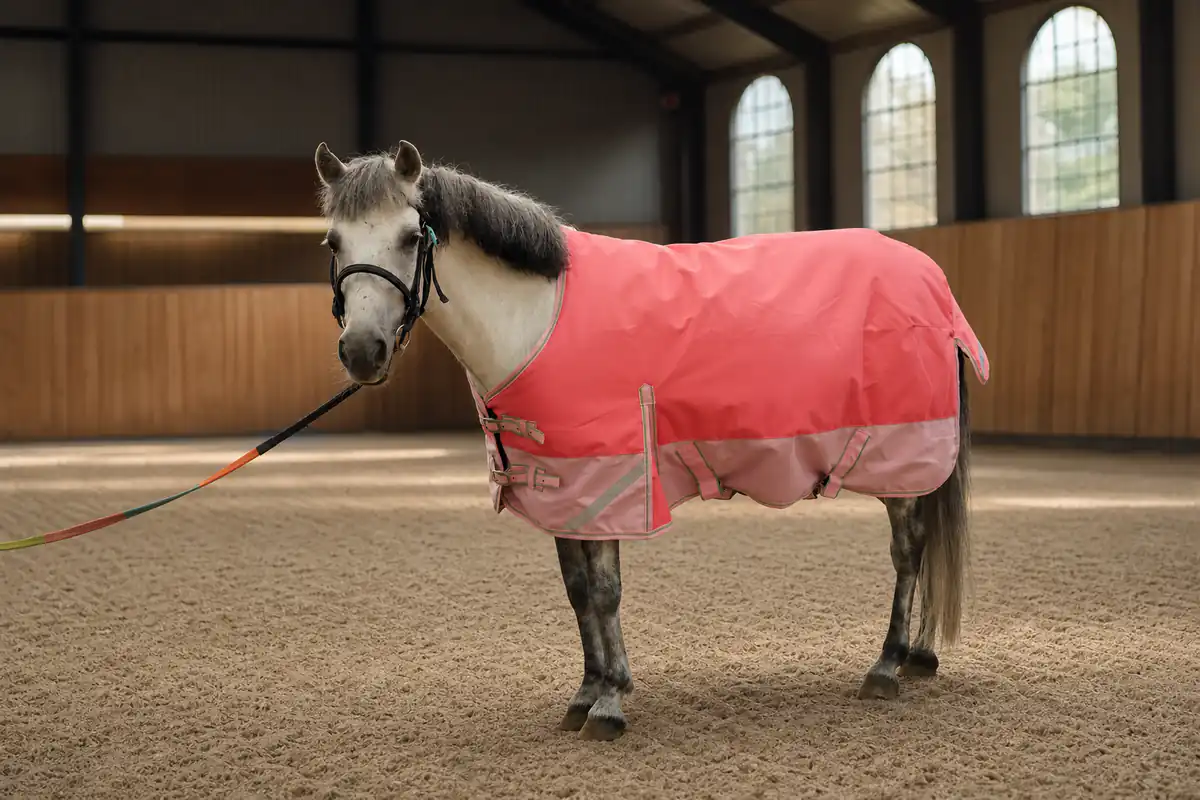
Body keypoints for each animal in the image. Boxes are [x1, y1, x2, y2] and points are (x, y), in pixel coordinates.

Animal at [312, 139, 988, 742]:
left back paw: (888, 664)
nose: (362, 352)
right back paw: (918, 657)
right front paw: (586, 692)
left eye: (409, 236)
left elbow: (605, 593)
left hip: (900, 463)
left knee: (908, 553)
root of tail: (932, 282)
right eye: (333, 242)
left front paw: (609, 703)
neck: (538, 317)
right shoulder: (567, 488)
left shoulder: (612, 481)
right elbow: (578, 593)